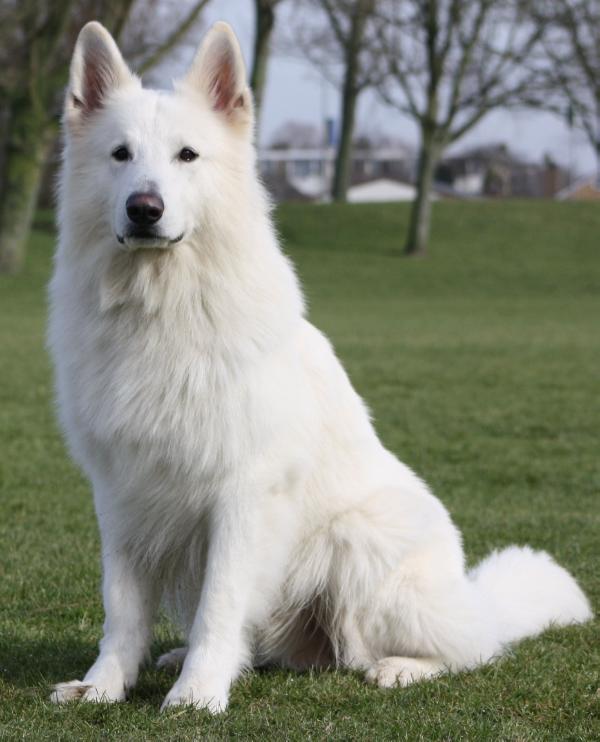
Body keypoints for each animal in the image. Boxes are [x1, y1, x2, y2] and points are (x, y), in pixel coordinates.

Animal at [48, 20, 592, 712]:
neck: (161, 309)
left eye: (187, 156)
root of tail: (475, 599)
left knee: (469, 649)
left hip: (359, 545)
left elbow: (220, 603)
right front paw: (104, 685)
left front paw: (196, 695)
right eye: (120, 154)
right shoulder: (120, 493)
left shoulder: (243, 493)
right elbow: (122, 608)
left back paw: (401, 667)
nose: (145, 208)